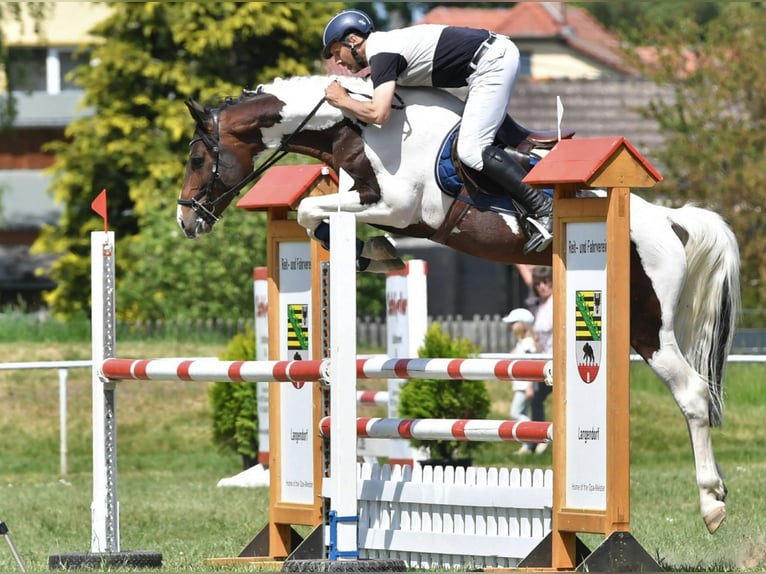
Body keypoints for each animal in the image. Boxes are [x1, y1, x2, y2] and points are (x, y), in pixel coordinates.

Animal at [177, 73, 740, 536]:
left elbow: (308, 208)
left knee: (693, 393)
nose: (187, 221)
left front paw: (370, 252)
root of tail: (669, 220)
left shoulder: (400, 207)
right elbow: (313, 213)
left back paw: (712, 505)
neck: (356, 129)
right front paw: (373, 253)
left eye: (198, 159)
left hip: (646, 324)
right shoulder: (376, 205)